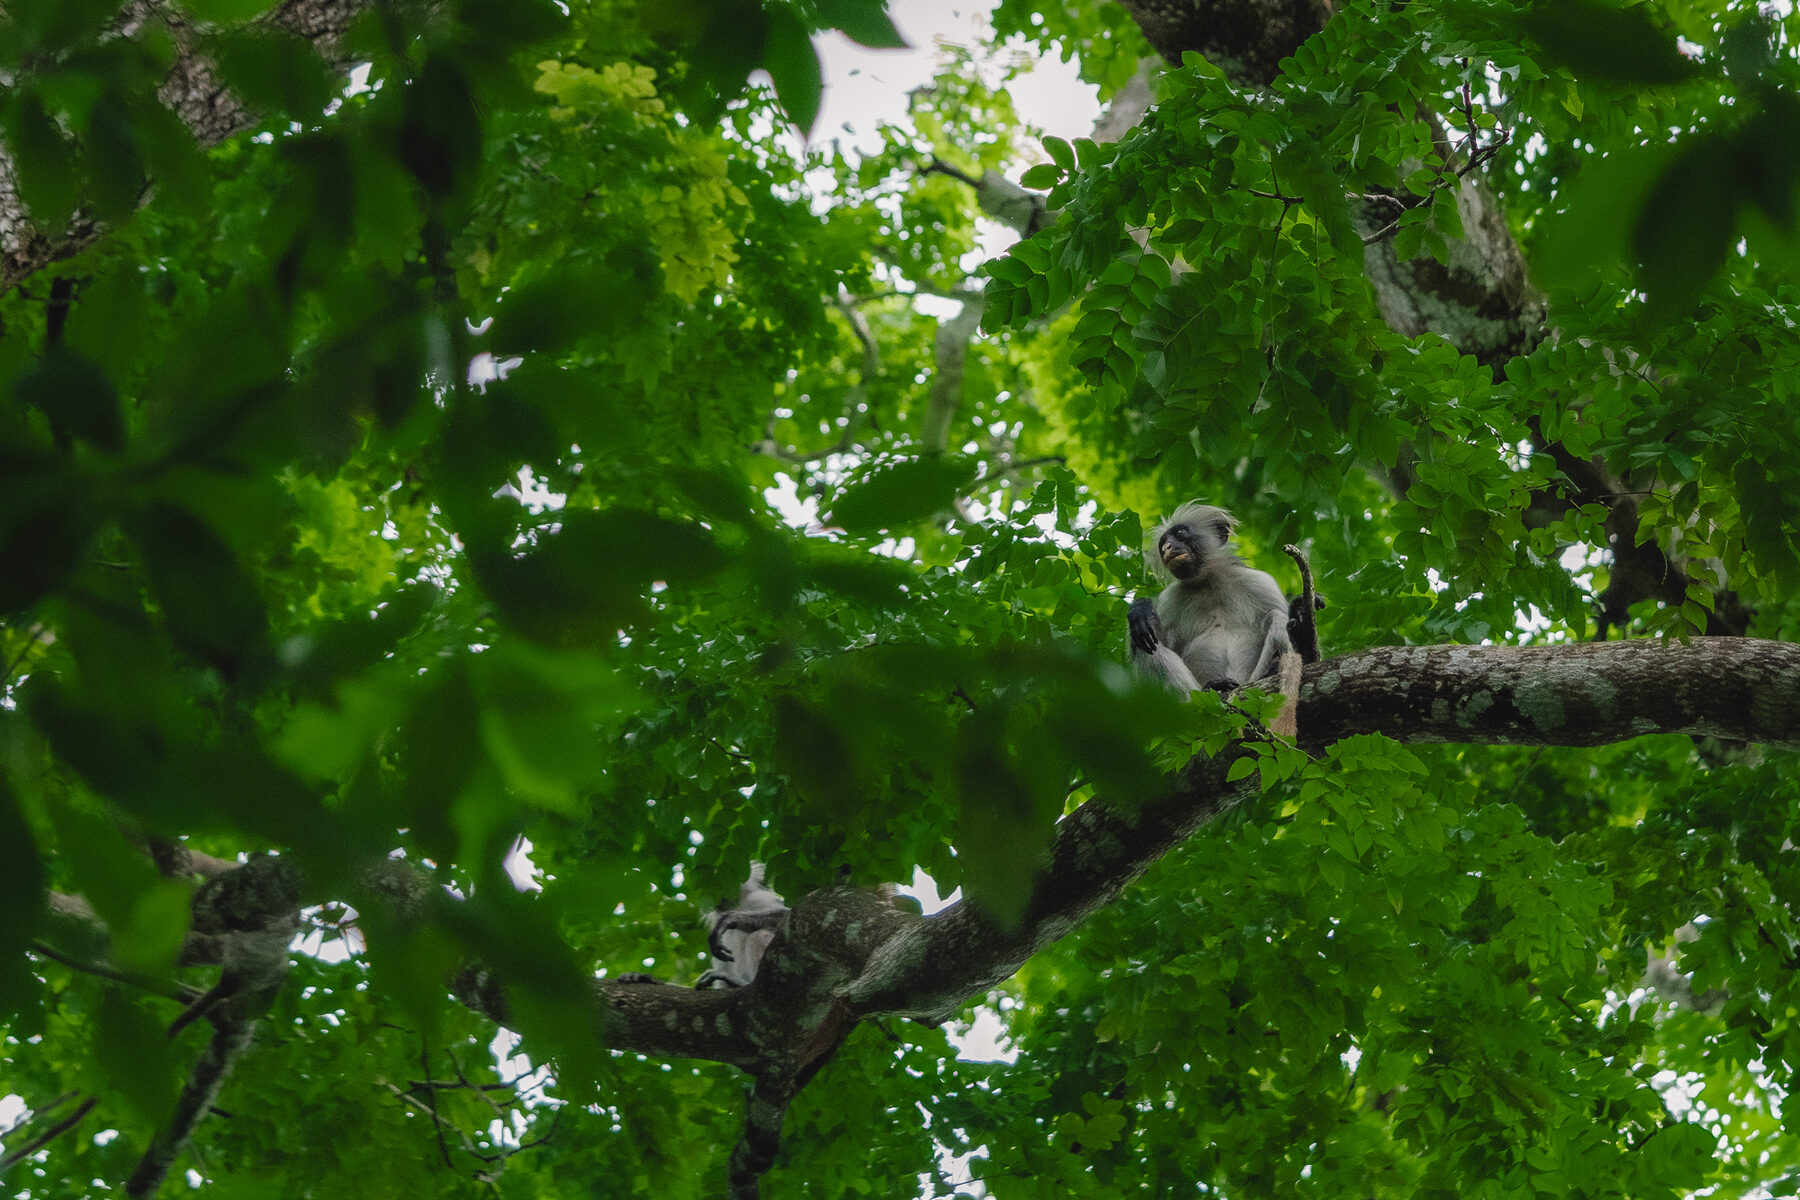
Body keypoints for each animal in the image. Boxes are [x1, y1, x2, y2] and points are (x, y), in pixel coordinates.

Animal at [1128, 503, 1293, 695]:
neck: (1208, 583)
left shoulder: (1260, 583)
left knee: (1279, 616)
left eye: (1180, 533)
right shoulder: (1170, 600)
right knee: (1141, 640)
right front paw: (1140, 609)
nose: (1166, 547)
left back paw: (1271, 668)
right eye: (1163, 543)